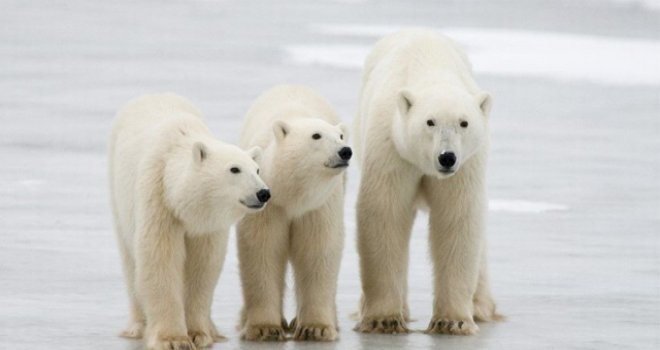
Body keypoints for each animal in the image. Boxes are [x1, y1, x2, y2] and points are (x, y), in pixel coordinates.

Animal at [109, 93, 270, 350]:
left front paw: (198, 334)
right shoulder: (158, 200)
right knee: (130, 260)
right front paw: (172, 339)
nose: (263, 193)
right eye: (234, 169)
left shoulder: (206, 225)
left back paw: (214, 329)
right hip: (118, 193)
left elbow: (203, 267)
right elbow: (160, 258)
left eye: (257, 169)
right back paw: (137, 326)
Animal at [237, 85, 350, 342]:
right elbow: (262, 250)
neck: (292, 195)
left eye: (340, 137)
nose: (345, 151)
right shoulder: (269, 206)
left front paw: (316, 328)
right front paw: (265, 328)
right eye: (316, 136)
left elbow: (317, 250)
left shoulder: (318, 206)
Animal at [356, 28, 500, 334]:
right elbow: (385, 213)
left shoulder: (466, 166)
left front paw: (453, 321)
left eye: (464, 122)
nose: (447, 157)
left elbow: (457, 218)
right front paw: (384, 319)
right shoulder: (392, 147)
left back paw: (481, 307)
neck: (431, 67)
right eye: (429, 122)